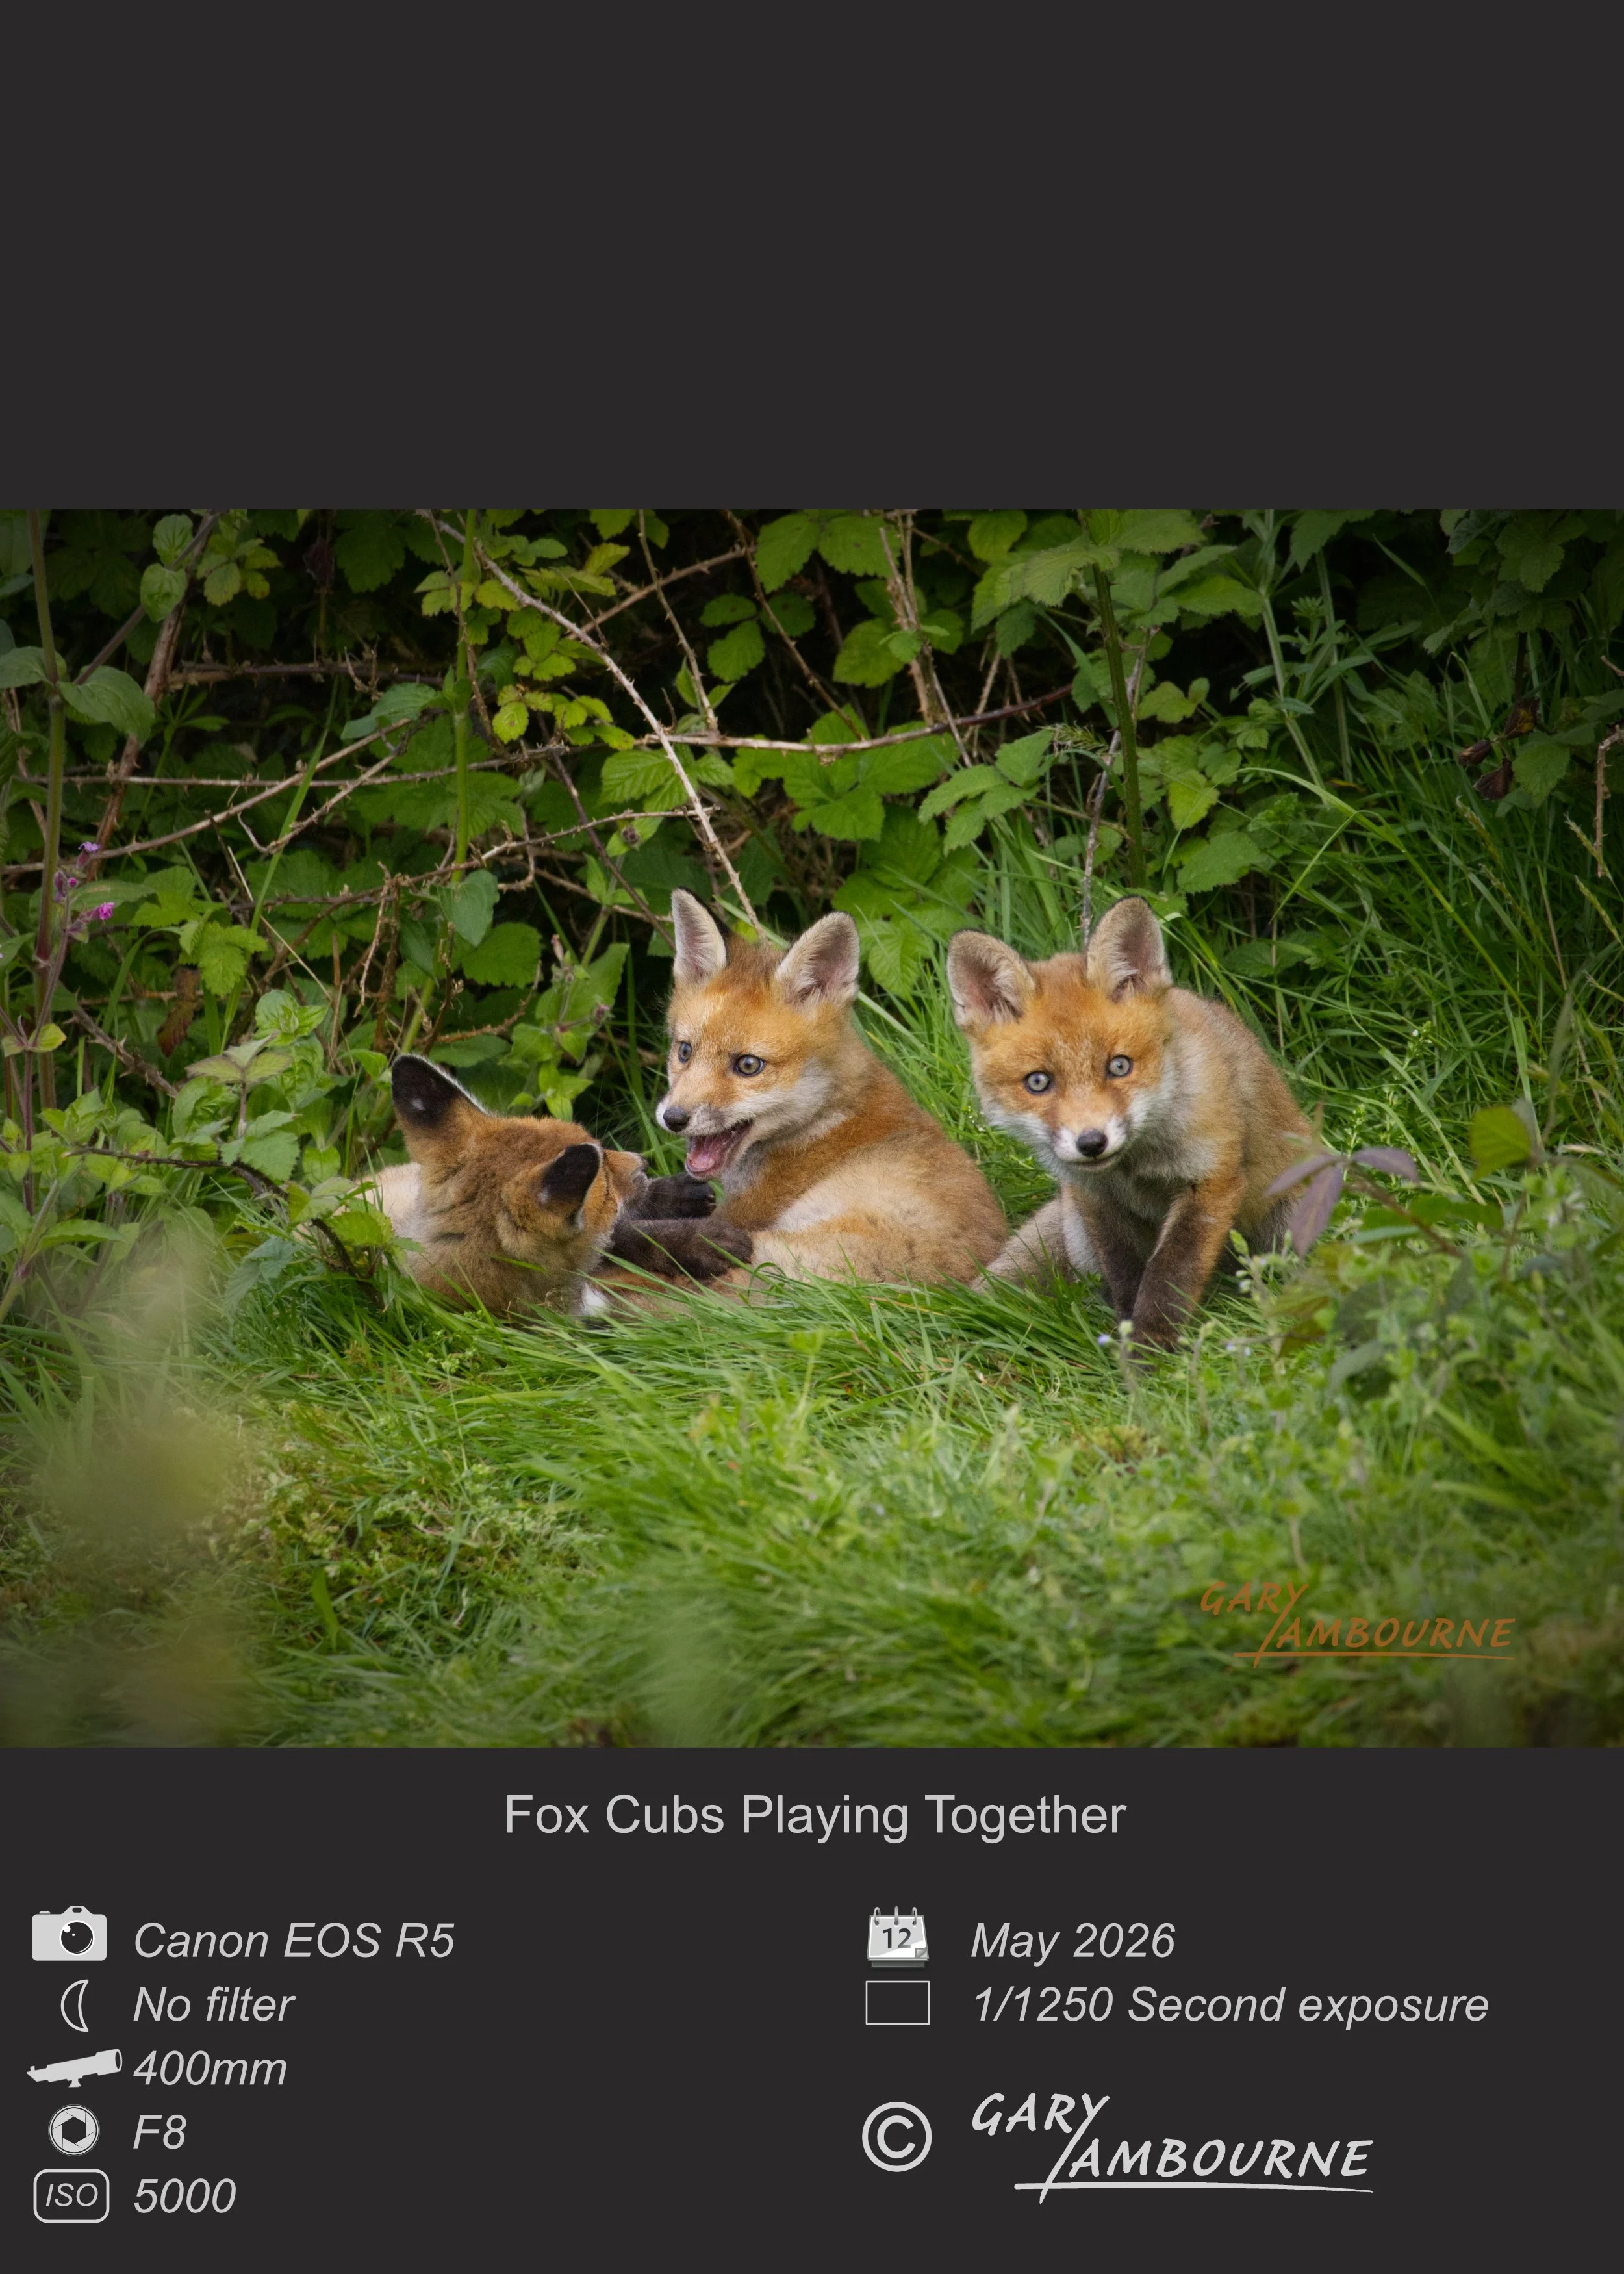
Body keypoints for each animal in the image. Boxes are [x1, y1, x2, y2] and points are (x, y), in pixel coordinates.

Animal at [946, 896, 1313, 1347]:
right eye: (1038, 1082)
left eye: (1119, 1066)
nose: (1091, 1142)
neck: (1135, 1167)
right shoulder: (1096, 1198)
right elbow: (1126, 1275)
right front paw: (1127, 1337)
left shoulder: (1211, 1180)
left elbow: (1169, 1275)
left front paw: (1150, 1352)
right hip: (1077, 1231)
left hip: (1288, 1220)